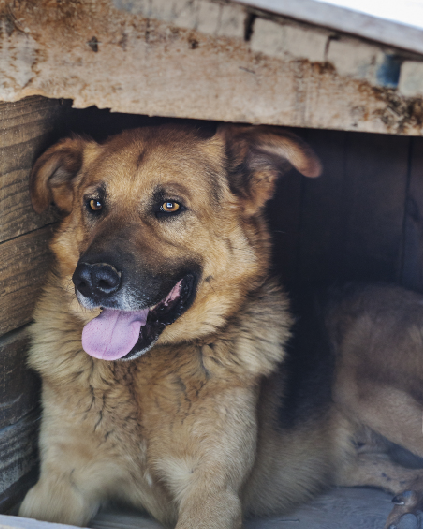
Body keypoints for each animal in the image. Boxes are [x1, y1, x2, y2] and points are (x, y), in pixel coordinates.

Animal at [19, 125, 423, 528]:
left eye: (169, 206)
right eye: (95, 205)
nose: (90, 280)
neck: (143, 374)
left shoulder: (212, 493)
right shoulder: (58, 485)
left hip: (365, 392)